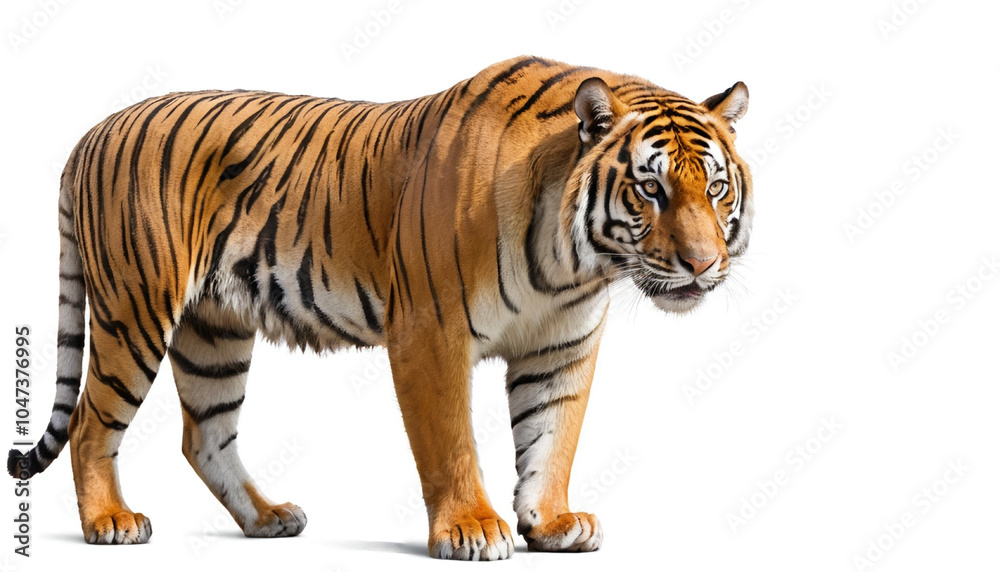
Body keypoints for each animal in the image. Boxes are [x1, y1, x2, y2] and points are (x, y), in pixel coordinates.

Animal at [6, 55, 752, 560]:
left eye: (715, 188)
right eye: (651, 189)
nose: (702, 264)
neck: (572, 264)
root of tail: (93, 131)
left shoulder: (561, 346)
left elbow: (552, 437)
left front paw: (553, 523)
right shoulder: (430, 331)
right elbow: (450, 441)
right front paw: (472, 529)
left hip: (213, 330)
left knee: (205, 436)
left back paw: (267, 518)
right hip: (135, 309)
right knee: (92, 424)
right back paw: (111, 524)